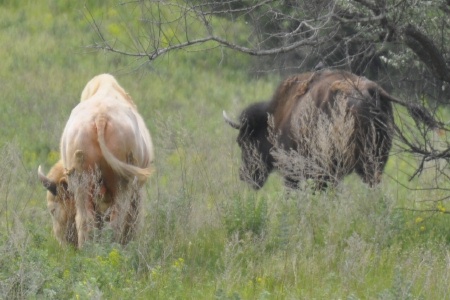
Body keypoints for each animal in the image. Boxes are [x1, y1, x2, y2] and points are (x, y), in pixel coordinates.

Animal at [37, 74, 153, 247]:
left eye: (52, 209)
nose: (63, 242)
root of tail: (101, 117)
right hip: (121, 186)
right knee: (116, 221)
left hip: (83, 184)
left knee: (87, 222)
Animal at [225, 69, 436, 189]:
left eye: (243, 141)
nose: (244, 176)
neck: (279, 116)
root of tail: (373, 91)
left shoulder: (295, 172)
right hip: (375, 162)